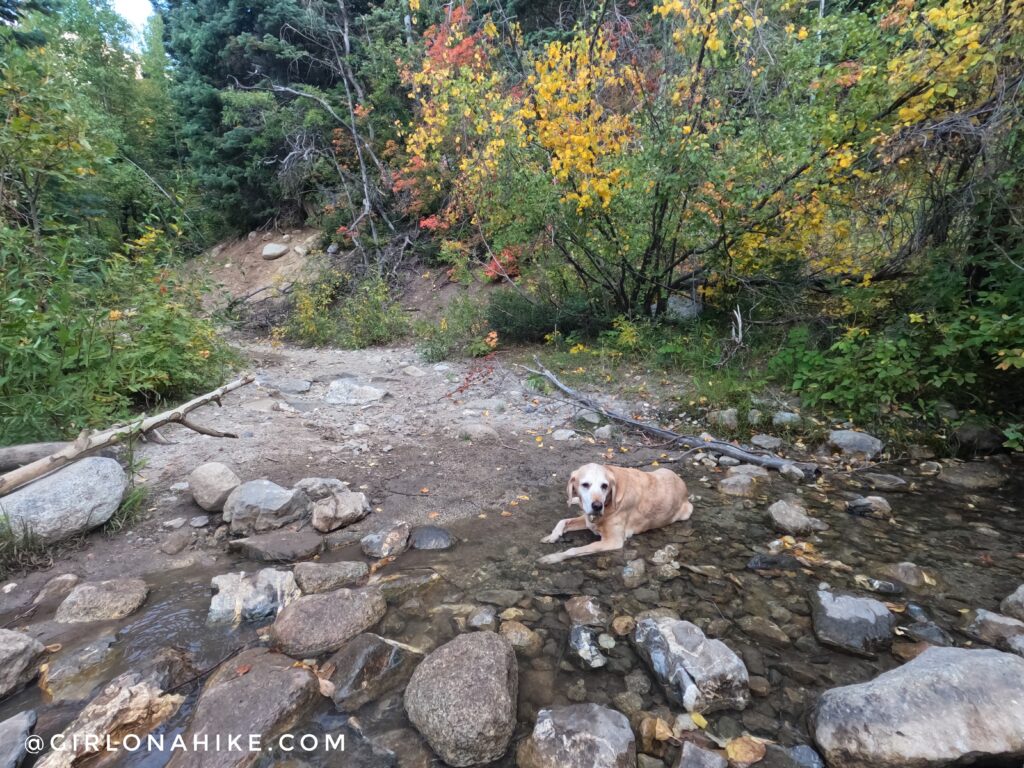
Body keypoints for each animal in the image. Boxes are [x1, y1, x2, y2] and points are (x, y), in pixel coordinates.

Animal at [540, 462, 692, 565]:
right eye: (585, 484)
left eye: (604, 486)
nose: (597, 506)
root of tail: (683, 483)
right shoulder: (589, 520)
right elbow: (563, 521)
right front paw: (552, 536)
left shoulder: (613, 541)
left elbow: (573, 550)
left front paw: (553, 557)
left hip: (687, 511)